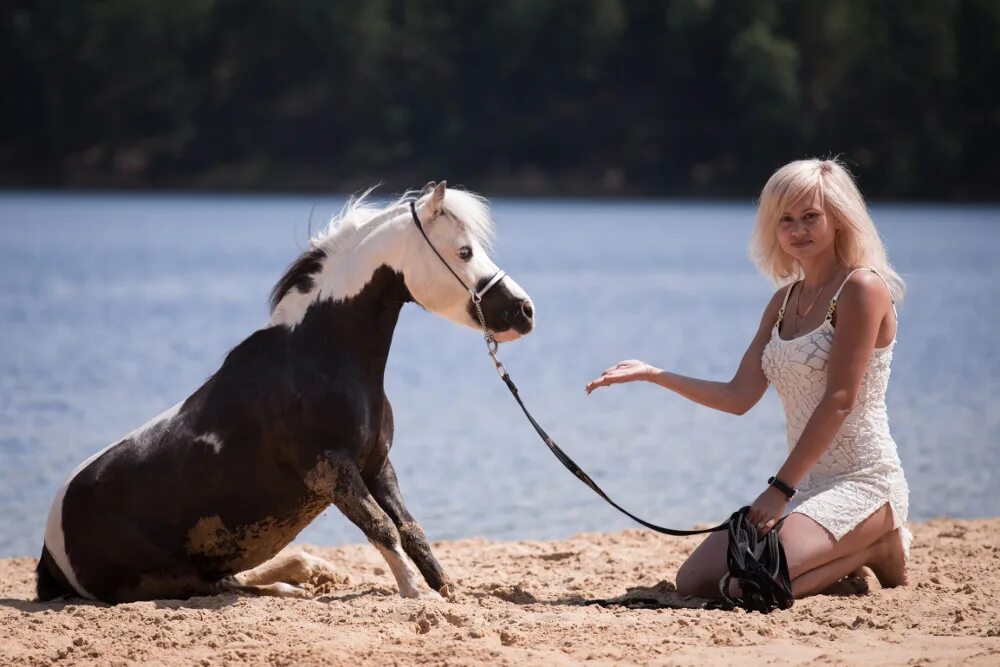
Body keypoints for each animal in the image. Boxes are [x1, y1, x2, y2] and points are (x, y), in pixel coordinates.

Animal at [35, 183, 536, 604]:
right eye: (464, 251)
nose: (525, 311)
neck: (320, 357)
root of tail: (50, 550)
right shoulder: (332, 468)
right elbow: (382, 528)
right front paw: (418, 595)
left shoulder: (377, 464)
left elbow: (410, 529)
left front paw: (446, 590)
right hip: (162, 577)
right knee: (220, 585)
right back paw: (291, 584)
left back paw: (305, 569)